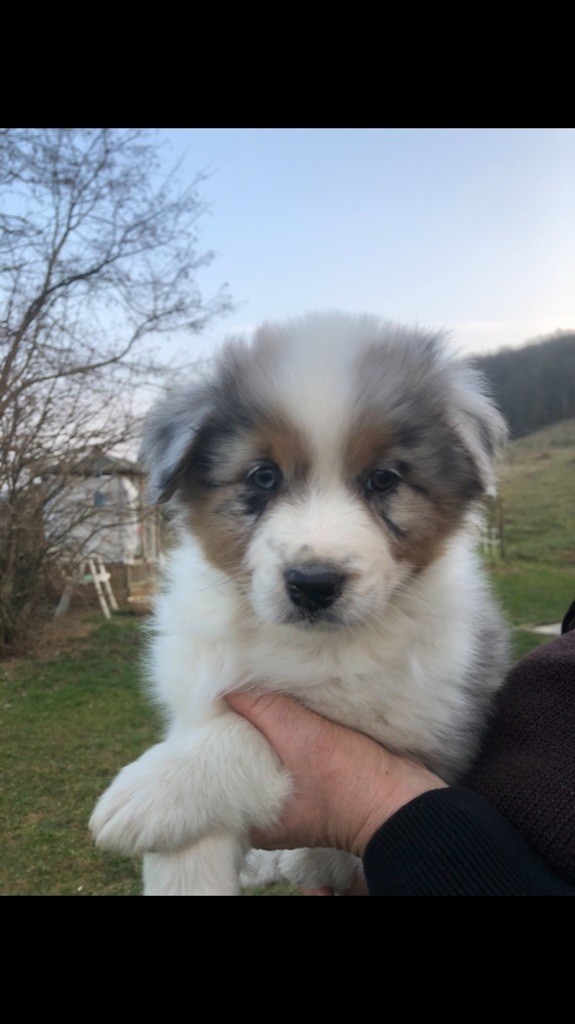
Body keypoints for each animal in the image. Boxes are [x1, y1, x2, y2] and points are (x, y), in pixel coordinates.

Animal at [89, 311, 505, 897]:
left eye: (384, 480)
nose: (313, 584)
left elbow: (255, 737)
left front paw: (153, 789)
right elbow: (185, 858)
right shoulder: (198, 687)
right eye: (263, 476)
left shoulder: (416, 727)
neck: (295, 641)